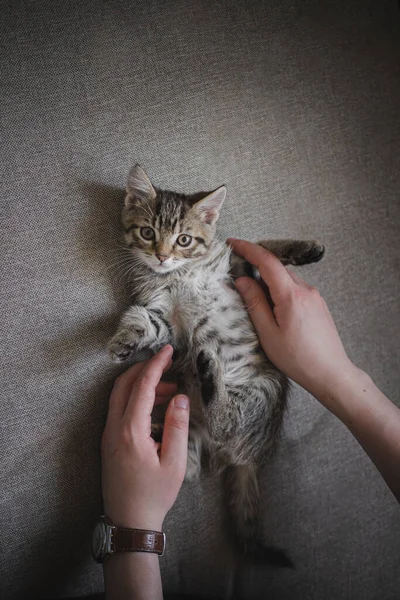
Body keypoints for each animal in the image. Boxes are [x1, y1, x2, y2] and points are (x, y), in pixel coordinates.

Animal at [108, 165, 324, 568]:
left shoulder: (235, 270)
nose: (161, 257)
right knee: (197, 459)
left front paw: (305, 248)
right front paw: (125, 339)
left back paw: (207, 378)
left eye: (184, 240)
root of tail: (253, 458)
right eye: (148, 233)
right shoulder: (169, 323)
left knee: (216, 434)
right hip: (213, 413)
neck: (178, 275)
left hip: (262, 391)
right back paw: (171, 416)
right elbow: (146, 321)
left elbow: (262, 248)